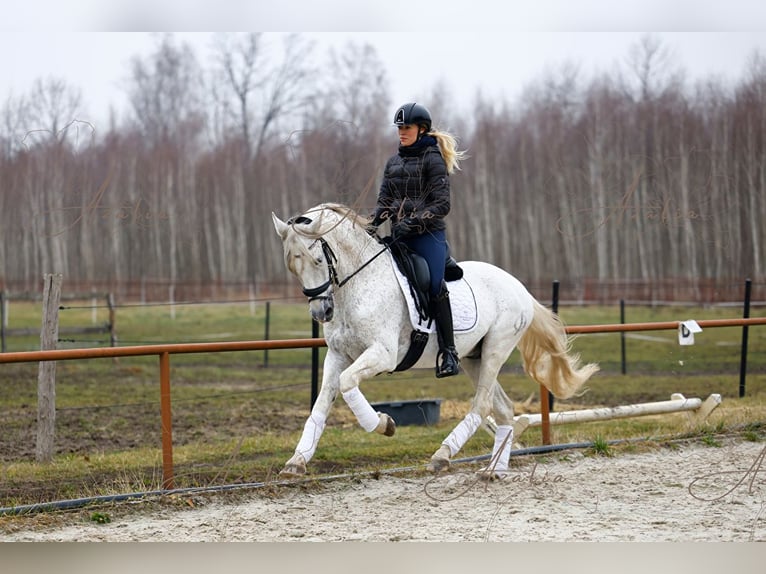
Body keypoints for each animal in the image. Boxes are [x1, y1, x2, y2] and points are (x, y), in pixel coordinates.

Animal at [270, 205, 600, 480]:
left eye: (317, 259)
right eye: (292, 267)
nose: (321, 313)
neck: (358, 285)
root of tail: (518, 286)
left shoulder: (383, 354)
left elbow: (348, 383)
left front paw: (384, 424)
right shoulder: (338, 356)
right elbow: (322, 404)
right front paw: (296, 462)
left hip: (496, 348)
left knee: (482, 405)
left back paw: (443, 455)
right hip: (474, 357)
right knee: (504, 409)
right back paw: (493, 470)